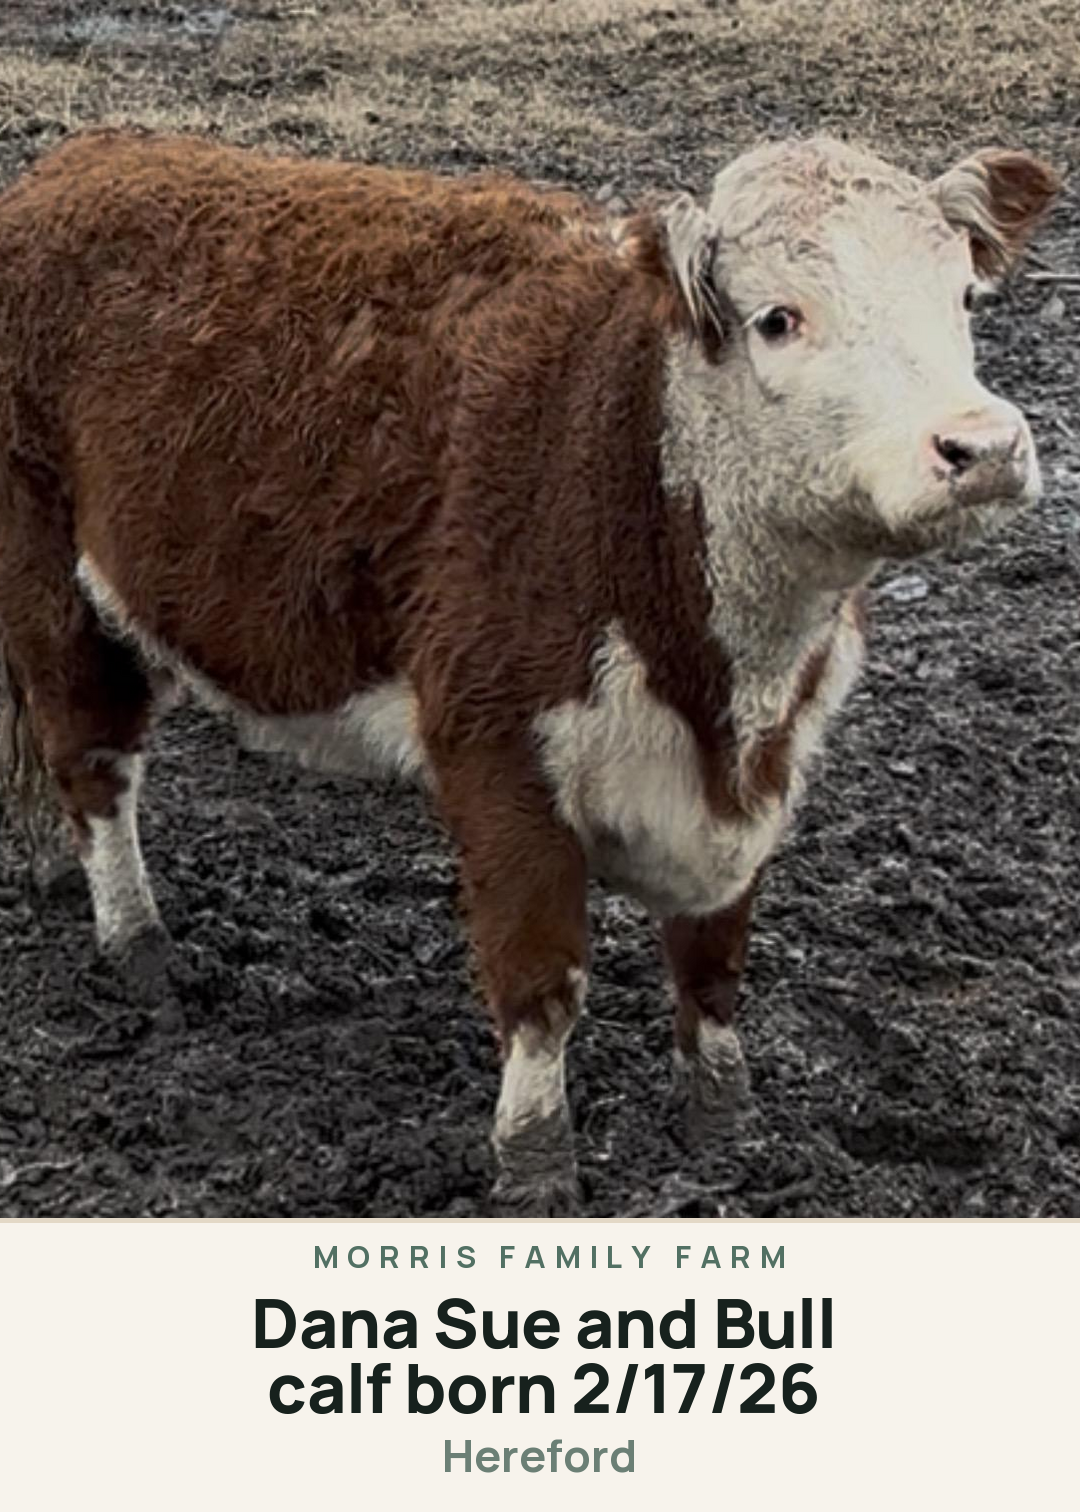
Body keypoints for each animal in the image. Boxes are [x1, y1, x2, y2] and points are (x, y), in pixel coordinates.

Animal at [0, 128, 1059, 1212]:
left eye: (963, 297)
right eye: (778, 318)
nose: (983, 447)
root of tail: (86, 158)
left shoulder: (760, 770)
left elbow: (713, 963)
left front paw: (723, 1123)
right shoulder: (496, 749)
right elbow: (542, 984)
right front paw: (537, 1161)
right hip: (49, 579)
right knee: (92, 762)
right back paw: (138, 946)